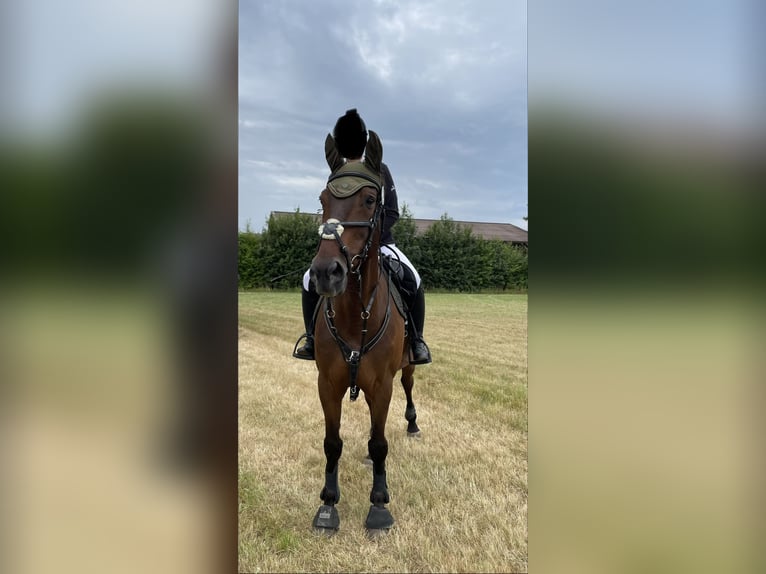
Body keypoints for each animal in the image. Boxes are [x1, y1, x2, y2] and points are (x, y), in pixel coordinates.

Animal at [307, 131, 420, 535]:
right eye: (322, 200)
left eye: (370, 200)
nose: (326, 273)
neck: (356, 314)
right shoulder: (327, 383)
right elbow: (332, 442)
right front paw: (327, 504)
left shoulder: (382, 383)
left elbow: (379, 444)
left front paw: (379, 506)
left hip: (406, 366)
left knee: (407, 387)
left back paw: (412, 424)